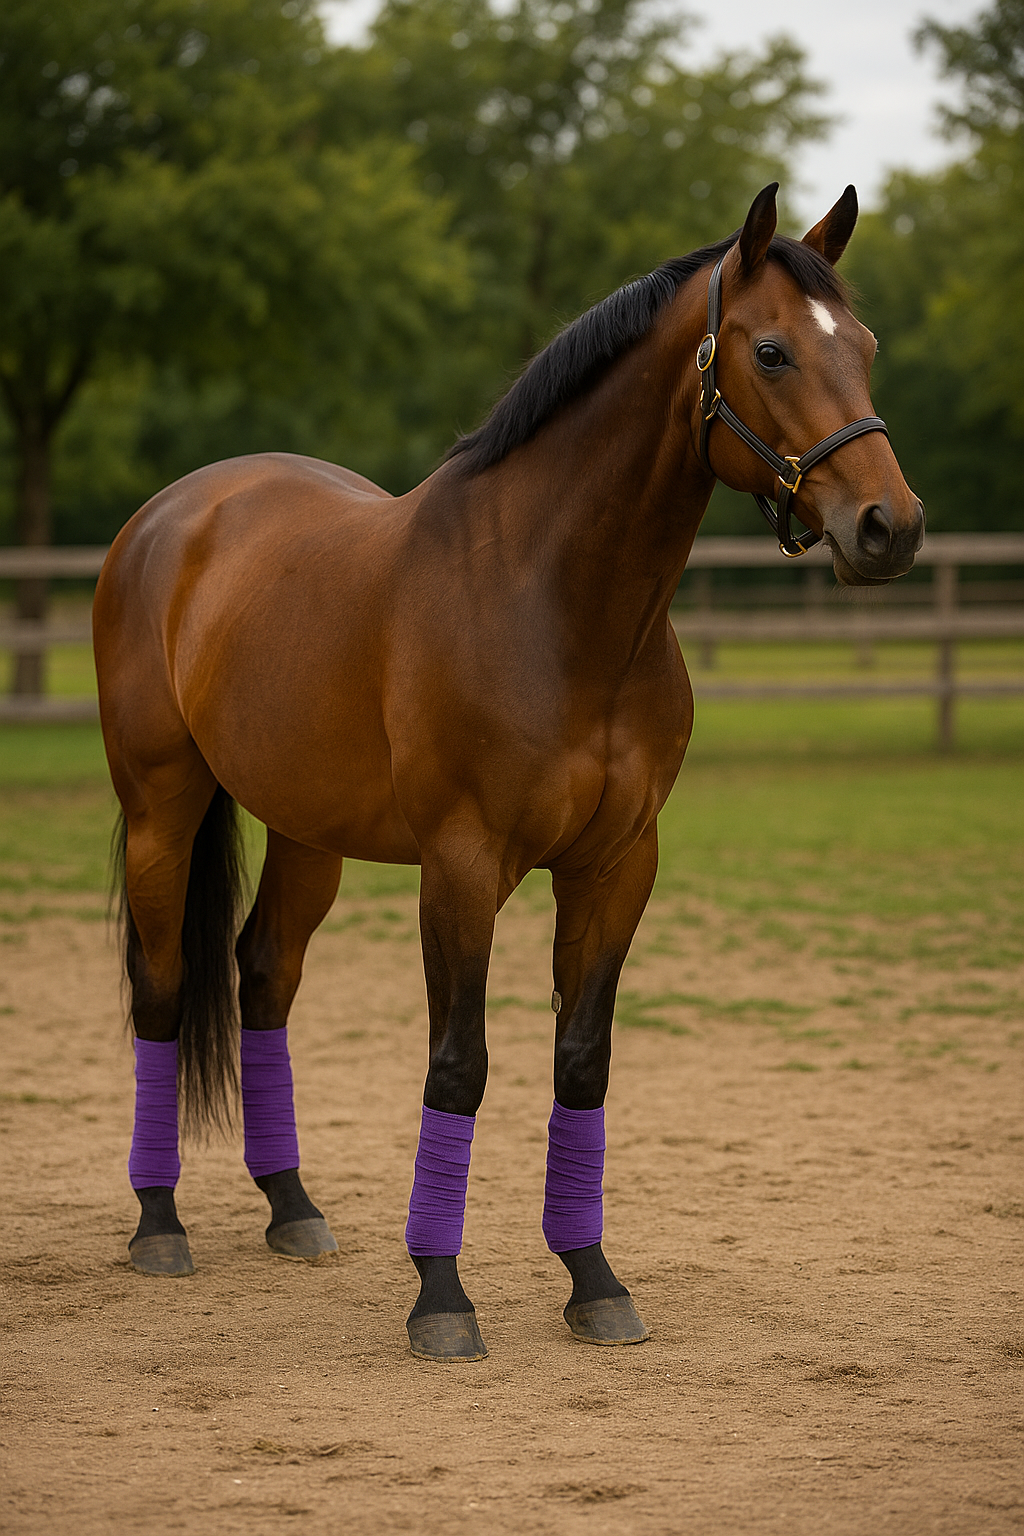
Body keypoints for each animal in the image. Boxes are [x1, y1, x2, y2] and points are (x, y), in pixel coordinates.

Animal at [93, 183, 924, 1362]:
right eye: (770, 351)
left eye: (864, 347)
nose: (889, 526)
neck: (553, 598)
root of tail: (171, 515)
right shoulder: (463, 865)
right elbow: (460, 1062)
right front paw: (442, 1295)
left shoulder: (617, 867)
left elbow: (581, 1059)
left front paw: (593, 1280)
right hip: (162, 807)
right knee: (163, 986)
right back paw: (159, 1222)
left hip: (307, 831)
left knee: (264, 976)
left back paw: (291, 1205)